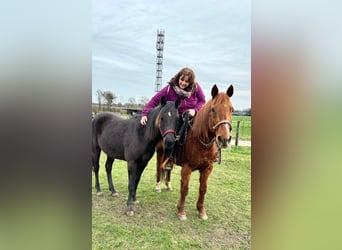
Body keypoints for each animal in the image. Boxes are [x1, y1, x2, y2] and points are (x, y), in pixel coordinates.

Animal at [156, 85, 234, 220]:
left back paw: (168, 185)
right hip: (160, 153)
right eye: (213, 109)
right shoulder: (186, 168)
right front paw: (181, 211)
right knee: (159, 168)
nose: (224, 138)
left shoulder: (208, 168)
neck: (201, 140)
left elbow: (203, 189)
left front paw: (201, 210)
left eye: (232, 109)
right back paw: (158, 187)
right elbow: (184, 189)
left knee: (167, 169)